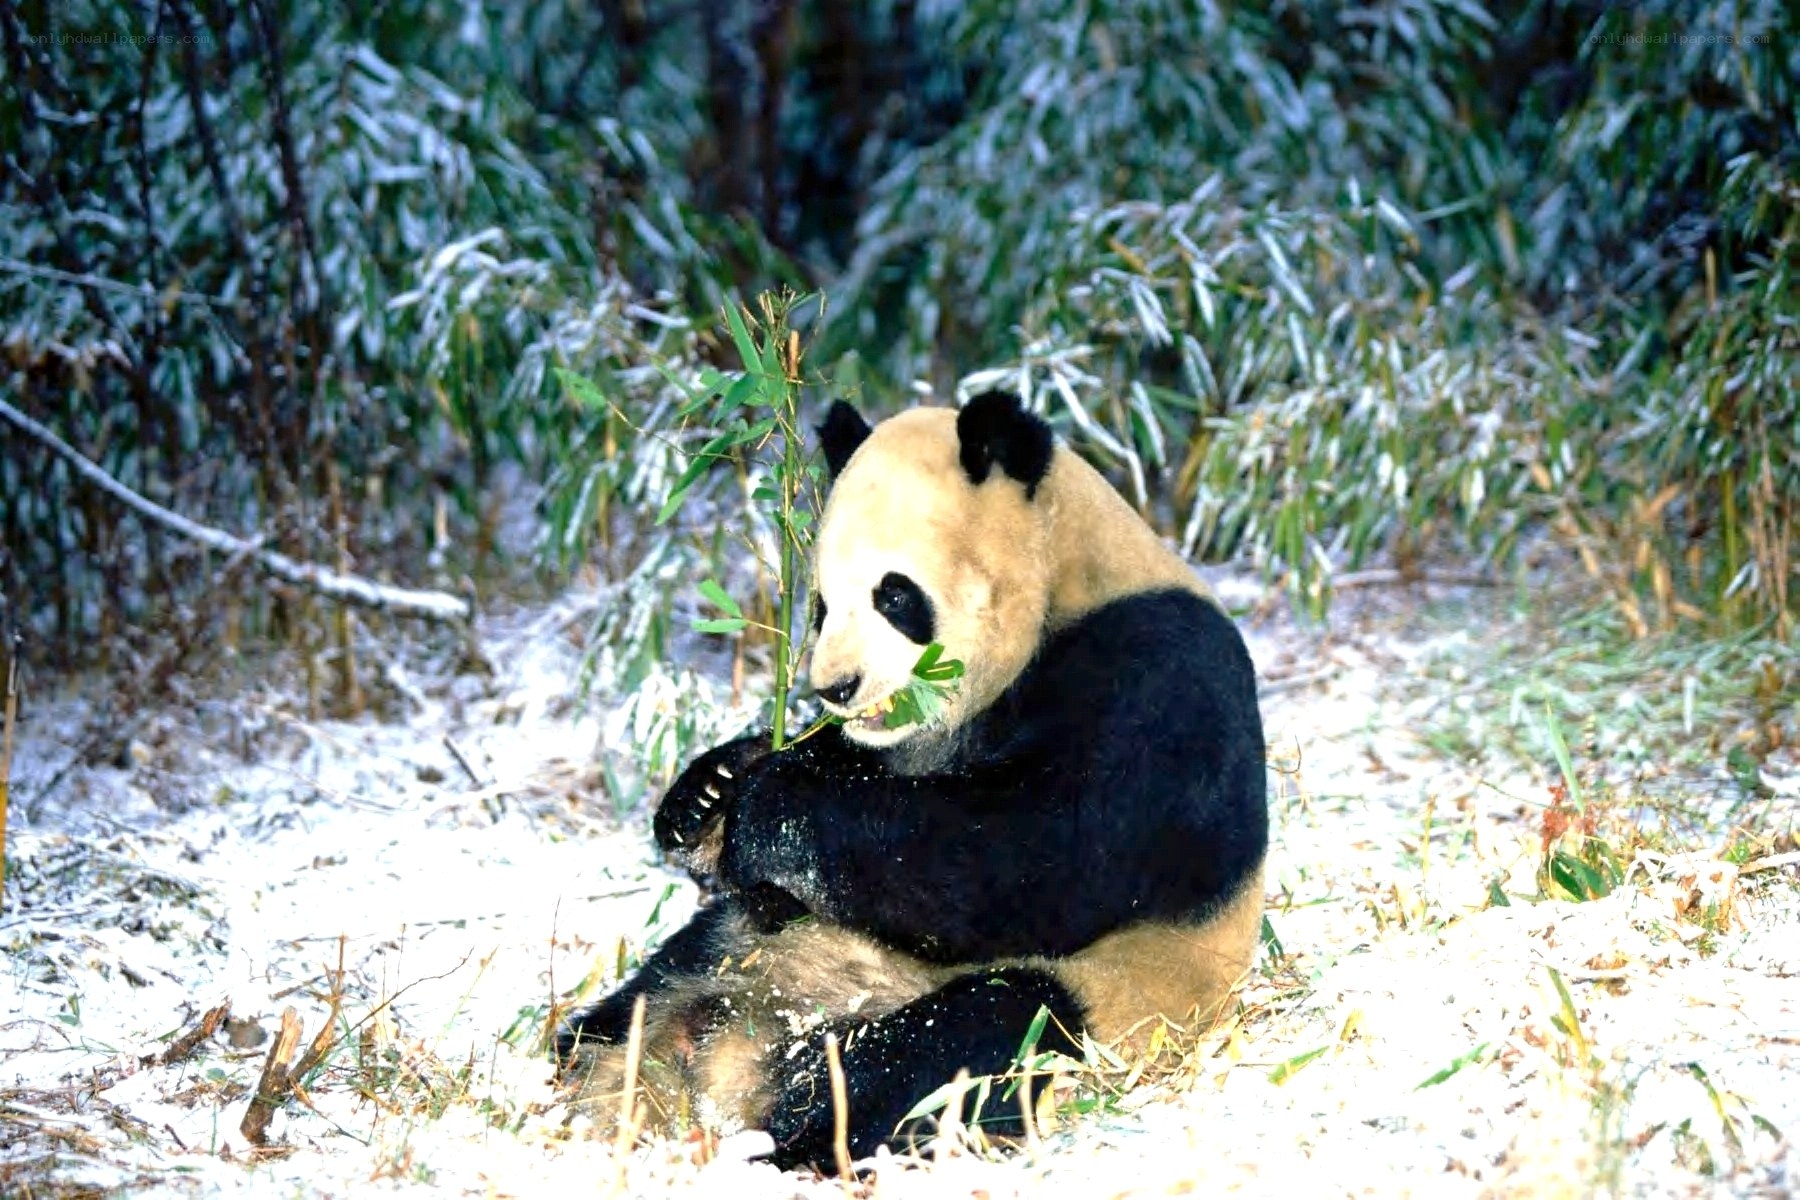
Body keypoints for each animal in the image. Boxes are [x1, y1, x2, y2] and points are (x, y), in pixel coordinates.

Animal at [556, 391, 1267, 1170]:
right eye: (820, 606)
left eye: (895, 596)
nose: (835, 687)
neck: (1064, 582)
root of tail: (733, 1064)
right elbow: (825, 809)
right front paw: (708, 795)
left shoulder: (1156, 680)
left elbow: (1033, 861)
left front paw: (767, 808)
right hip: (726, 951)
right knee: (646, 991)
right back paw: (588, 1067)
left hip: (1098, 998)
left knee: (967, 1038)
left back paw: (802, 1143)